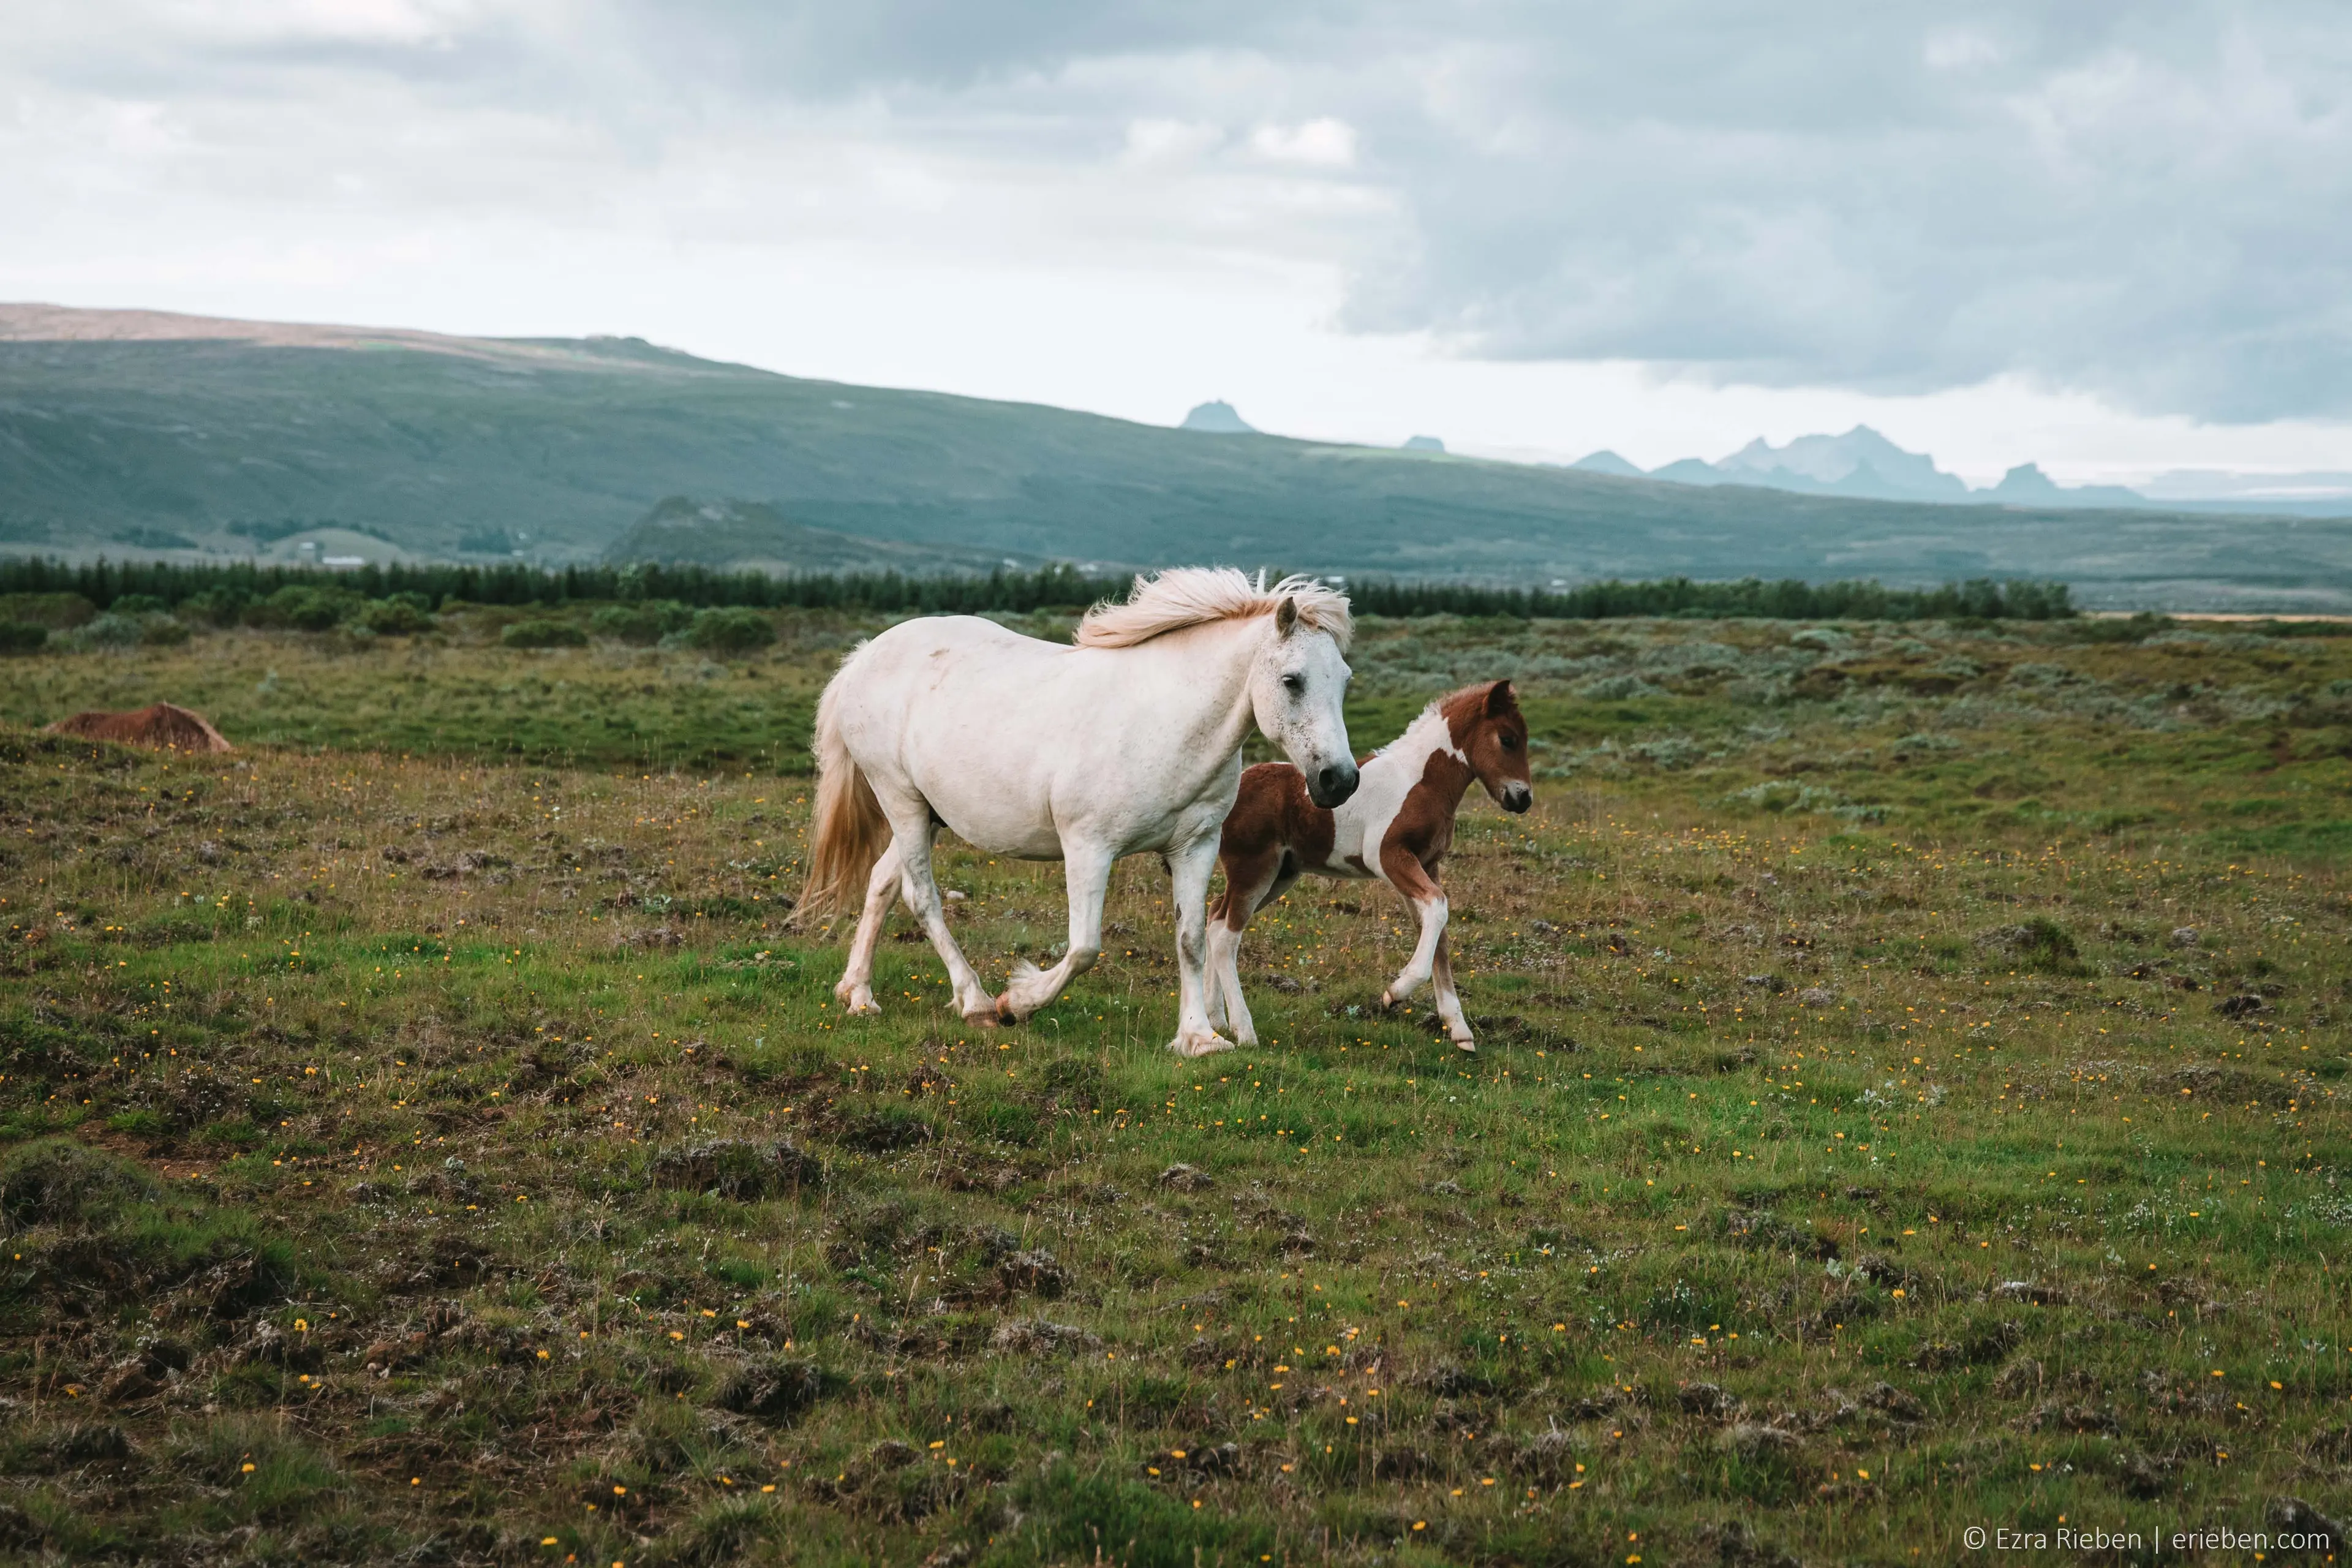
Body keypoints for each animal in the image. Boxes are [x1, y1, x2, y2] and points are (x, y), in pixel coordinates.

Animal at [799, 571, 1364, 1062]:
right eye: (1292, 681)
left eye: (1344, 681)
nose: (1339, 781)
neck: (1166, 721)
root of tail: (865, 656)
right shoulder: (1089, 847)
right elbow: (1085, 948)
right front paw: (1017, 1003)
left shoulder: (1195, 848)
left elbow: (1191, 941)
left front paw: (1199, 1038)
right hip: (902, 801)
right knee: (922, 897)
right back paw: (976, 1002)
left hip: (928, 814)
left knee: (881, 883)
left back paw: (857, 994)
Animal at [1213, 677, 1524, 1053]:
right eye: (1507, 739)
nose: (1523, 798)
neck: (1420, 781)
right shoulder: (1388, 856)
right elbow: (1437, 909)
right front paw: (1395, 994)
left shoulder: (1428, 864)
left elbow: (1438, 929)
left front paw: (1459, 1029)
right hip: (1254, 871)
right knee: (1225, 937)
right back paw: (1244, 1032)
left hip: (1278, 877)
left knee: (1213, 917)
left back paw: (1215, 1023)